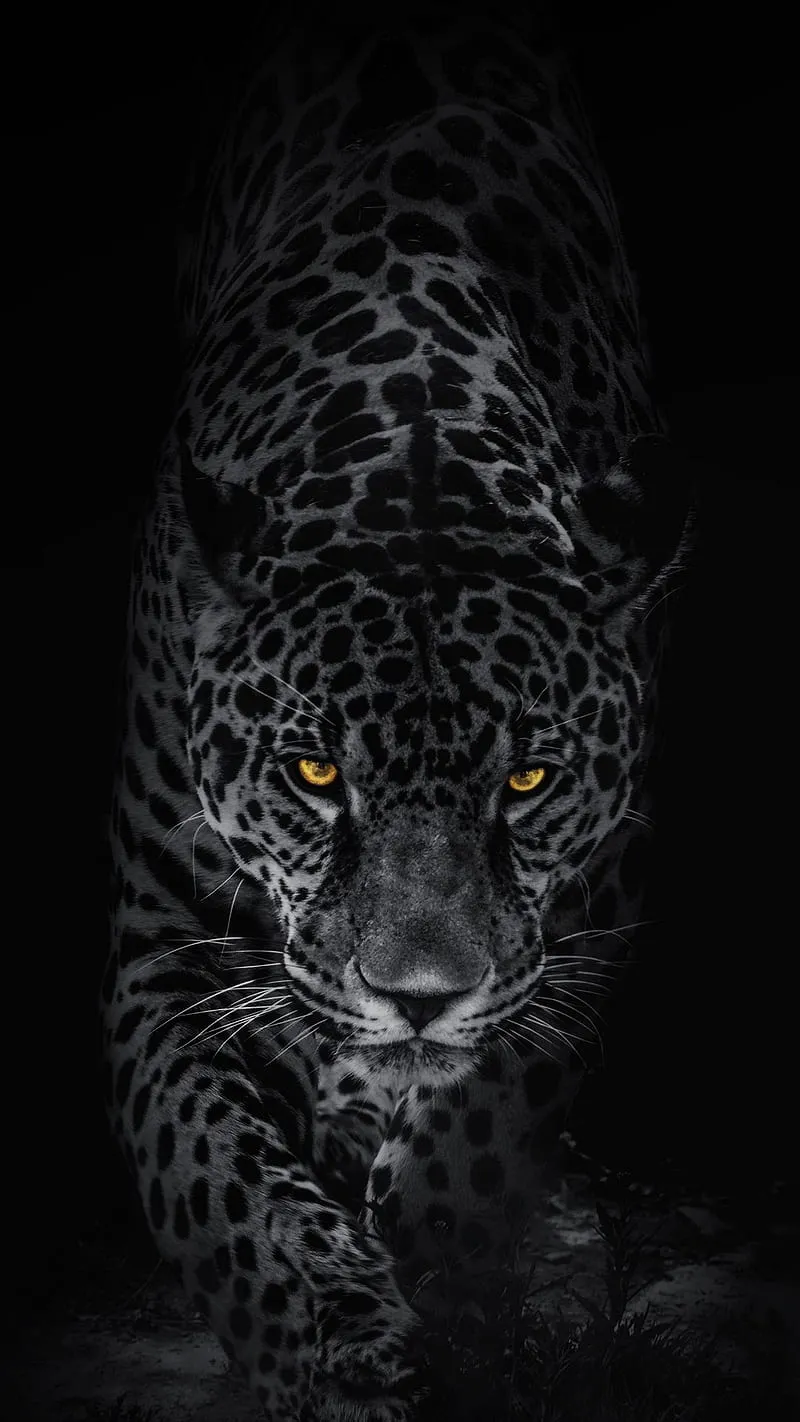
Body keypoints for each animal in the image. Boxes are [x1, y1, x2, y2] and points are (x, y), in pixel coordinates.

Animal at [102, 10, 693, 1420]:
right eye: (312, 774)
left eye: (528, 784)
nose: (415, 995)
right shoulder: (162, 943)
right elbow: (218, 1182)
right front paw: (336, 1346)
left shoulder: (596, 902)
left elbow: (488, 1113)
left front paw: (451, 1281)